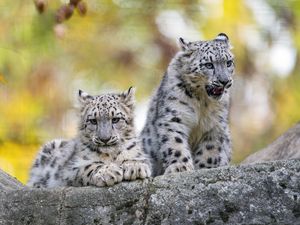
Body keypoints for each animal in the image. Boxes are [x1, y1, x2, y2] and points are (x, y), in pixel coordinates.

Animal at [141, 33, 234, 176]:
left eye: (228, 63)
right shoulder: (173, 117)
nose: (224, 81)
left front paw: (204, 167)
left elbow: (210, 149)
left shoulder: (215, 124)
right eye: (209, 65)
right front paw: (181, 166)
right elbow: (176, 143)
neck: (203, 102)